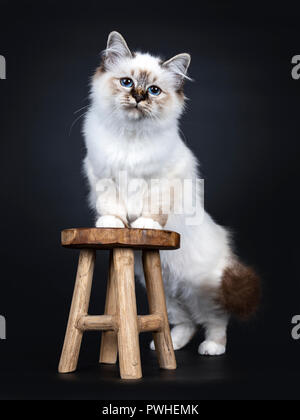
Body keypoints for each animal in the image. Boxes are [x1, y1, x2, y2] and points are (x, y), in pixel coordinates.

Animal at [82, 31, 260, 356]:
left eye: (154, 90)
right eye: (127, 82)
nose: (139, 96)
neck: (130, 137)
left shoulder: (163, 179)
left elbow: (153, 209)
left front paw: (144, 225)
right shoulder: (102, 175)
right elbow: (111, 206)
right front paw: (114, 224)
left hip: (205, 290)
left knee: (216, 321)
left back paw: (212, 348)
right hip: (166, 290)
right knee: (182, 322)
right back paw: (168, 345)